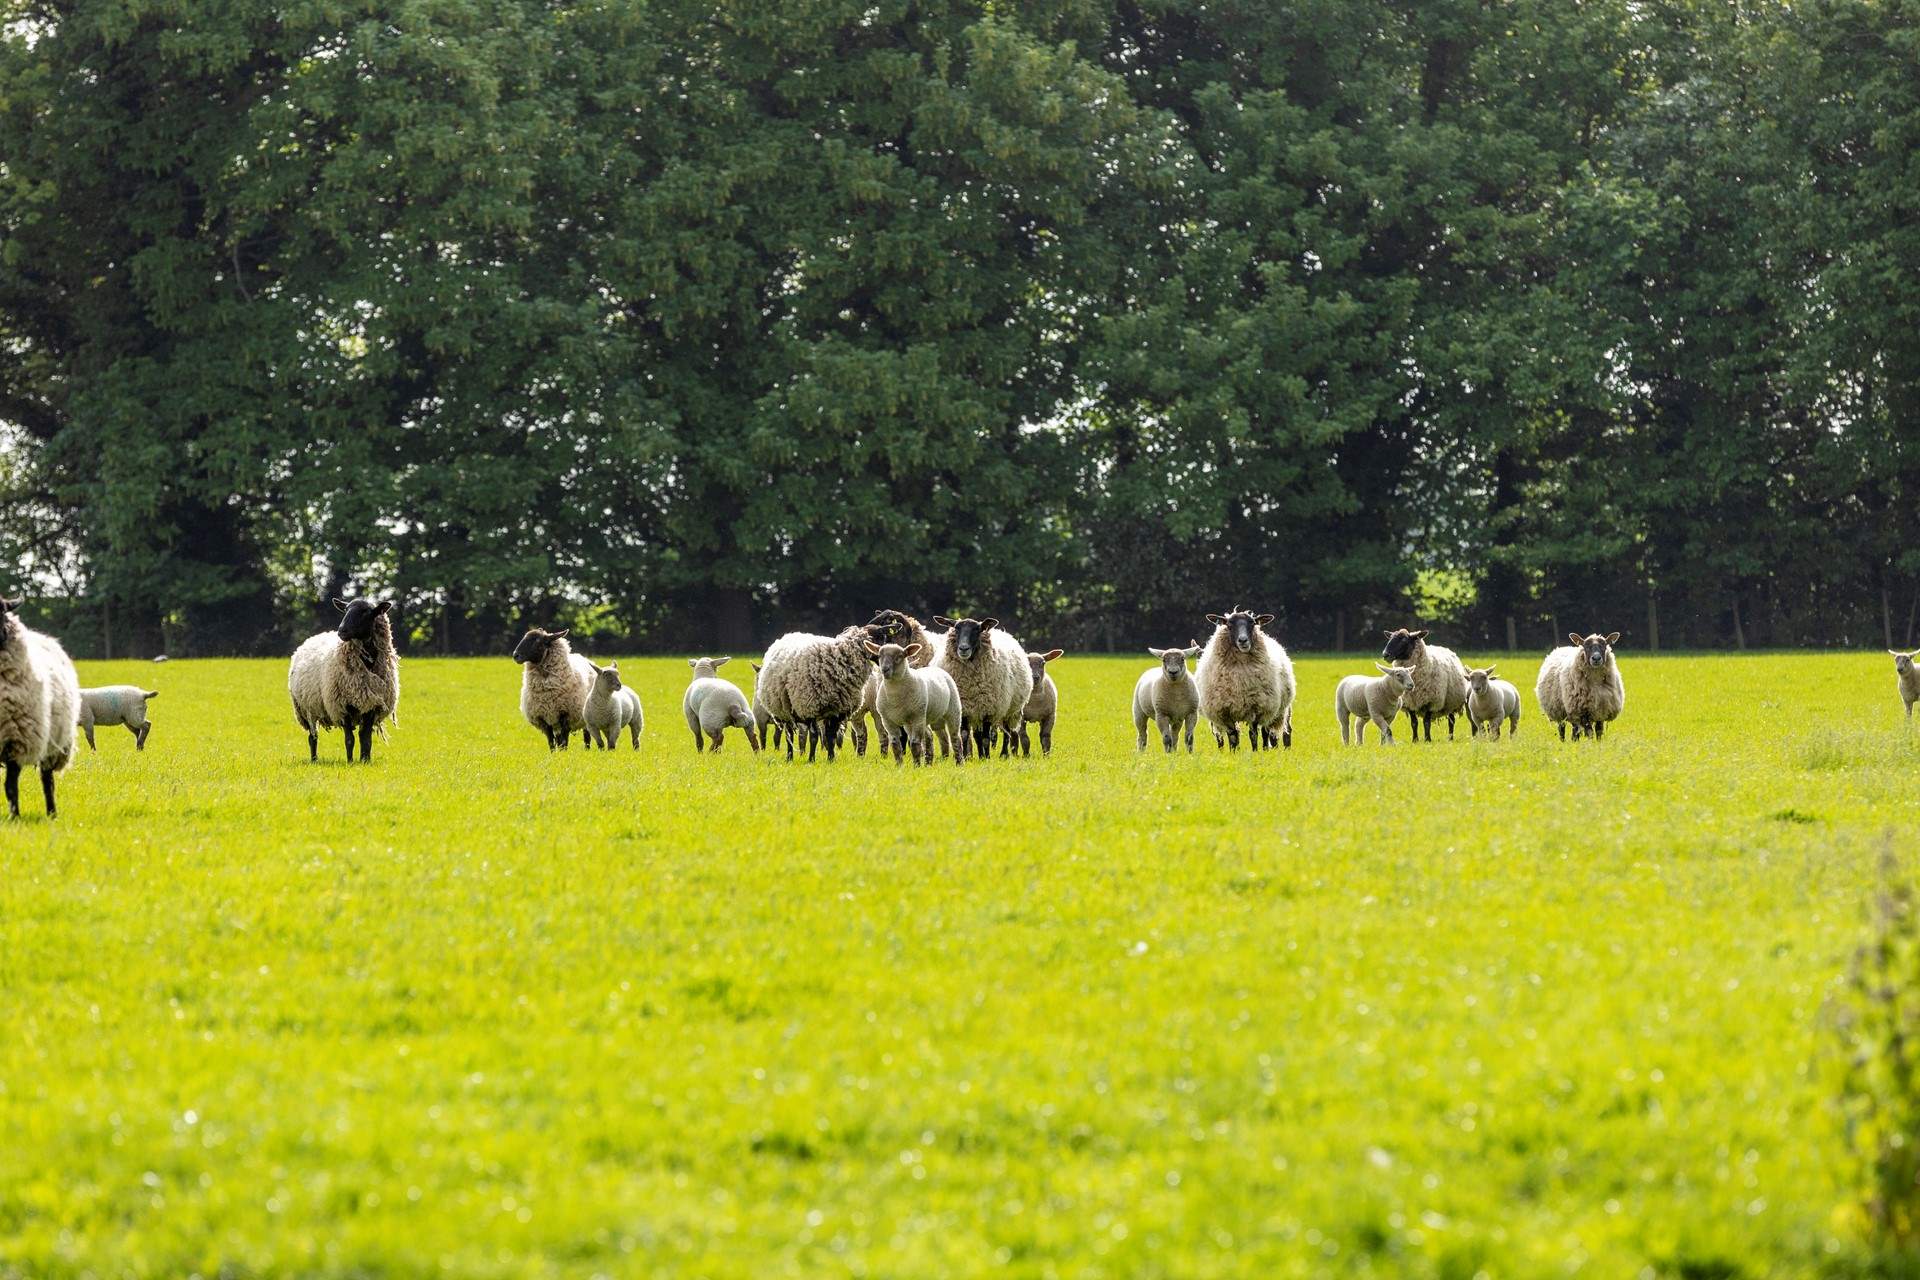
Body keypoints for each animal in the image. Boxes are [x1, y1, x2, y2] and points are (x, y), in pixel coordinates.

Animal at [0, 597, 79, 819]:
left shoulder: (16, 741)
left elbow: (10, 786)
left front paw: (15, 817)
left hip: (54, 745)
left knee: (47, 781)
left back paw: (52, 813)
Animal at [289, 598, 401, 763]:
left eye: (366, 611)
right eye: (345, 609)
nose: (341, 630)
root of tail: (312, 638)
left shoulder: (372, 705)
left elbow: (365, 738)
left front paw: (365, 761)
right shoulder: (342, 705)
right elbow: (349, 739)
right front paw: (350, 762)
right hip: (306, 708)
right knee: (312, 737)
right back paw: (314, 759)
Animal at [755, 623, 872, 761]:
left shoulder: (836, 711)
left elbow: (831, 737)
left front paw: (831, 759)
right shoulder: (810, 709)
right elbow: (814, 737)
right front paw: (811, 759)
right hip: (786, 710)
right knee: (789, 735)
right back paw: (789, 757)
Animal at [931, 615, 1034, 759]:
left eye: (977, 629)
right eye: (956, 628)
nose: (963, 649)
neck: (970, 685)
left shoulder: (989, 709)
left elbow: (986, 738)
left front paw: (987, 758)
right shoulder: (965, 708)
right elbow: (966, 735)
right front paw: (968, 757)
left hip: (1009, 710)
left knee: (1007, 732)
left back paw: (1003, 754)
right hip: (977, 710)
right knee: (977, 735)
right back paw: (981, 754)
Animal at [1196, 608, 1296, 752]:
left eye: (1253, 623)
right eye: (1229, 625)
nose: (1243, 640)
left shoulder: (1255, 707)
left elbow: (1253, 734)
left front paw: (1255, 752)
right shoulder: (1225, 711)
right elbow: (1233, 736)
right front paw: (1234, 753)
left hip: (1277, 708)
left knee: (1277, 731)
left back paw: (1274, 749)